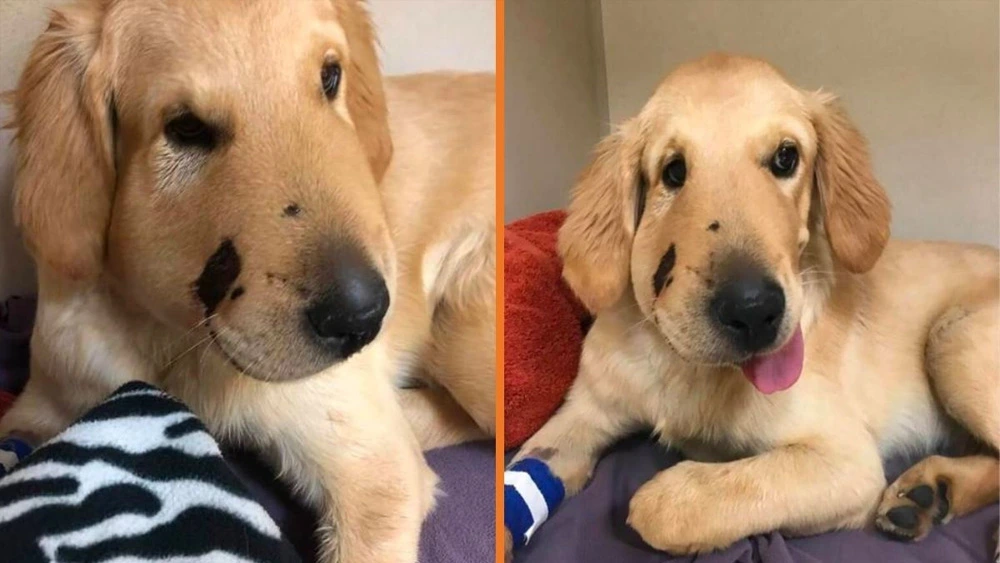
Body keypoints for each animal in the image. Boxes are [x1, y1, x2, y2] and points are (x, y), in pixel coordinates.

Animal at [2, 1, 496, 563]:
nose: (365, 317)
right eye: (187, 128)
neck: (176, 343)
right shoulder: (45, 401)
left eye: (330, 77)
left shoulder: (374, 474)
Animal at [512, 55, 996, 556]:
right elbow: (524, 469)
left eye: (786, 157)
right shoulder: (582, 412)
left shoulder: (847, 461)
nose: (753, 311)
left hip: (954, 337)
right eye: (673, 171)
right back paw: (928, 492)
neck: (680, 360)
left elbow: (672, 503)